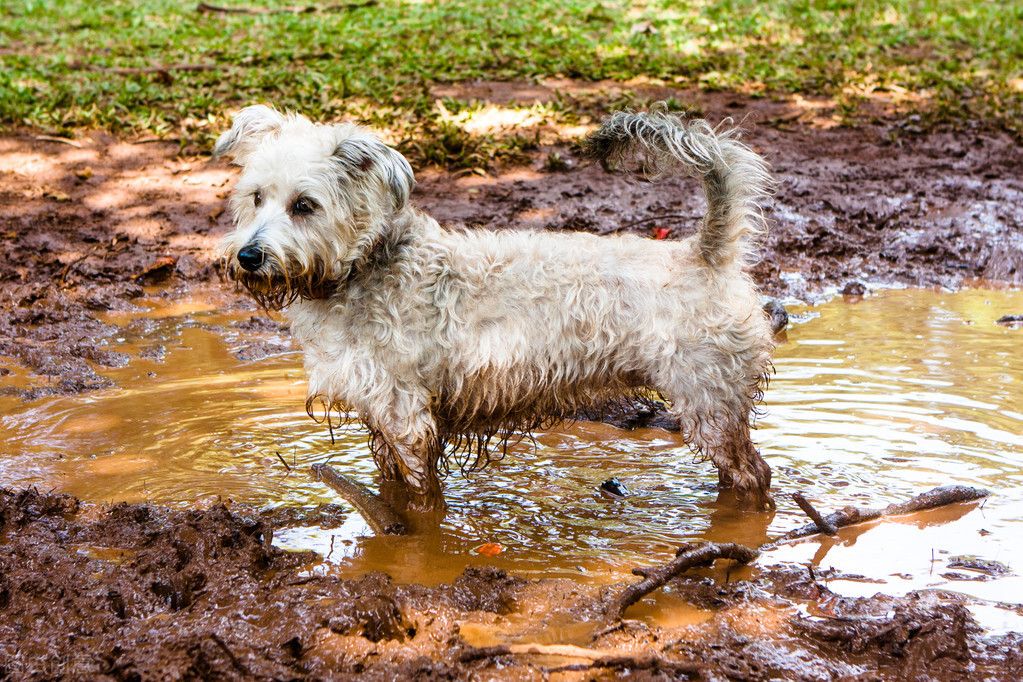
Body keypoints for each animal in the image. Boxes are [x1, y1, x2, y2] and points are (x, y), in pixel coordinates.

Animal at [217, 105, 773, 511]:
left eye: (304, 205)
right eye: (256, 197)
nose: (249, 256)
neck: (360, 267)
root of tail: (703, 254)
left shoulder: (406, 418)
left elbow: (422, 499)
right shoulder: (381, 417)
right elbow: (392, 482)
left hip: (709, 402)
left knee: (754, 475)